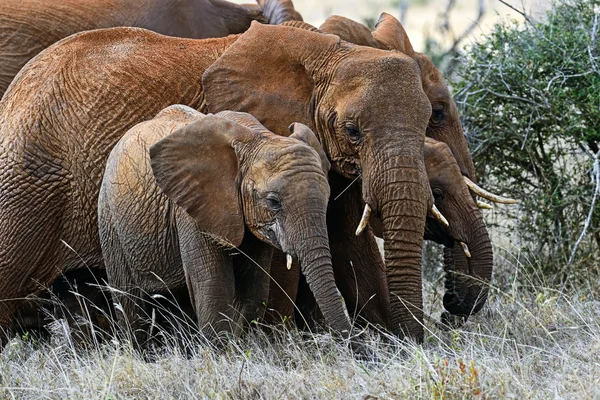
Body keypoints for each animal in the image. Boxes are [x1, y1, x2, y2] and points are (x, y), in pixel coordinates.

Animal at [98, 104, 354, 346]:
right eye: (273, 202)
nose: (355, 348)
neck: (259, 137)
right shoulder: (193, 210)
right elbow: (214, 288)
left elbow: (254, 290)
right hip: (109, 220)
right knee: (130, 305)